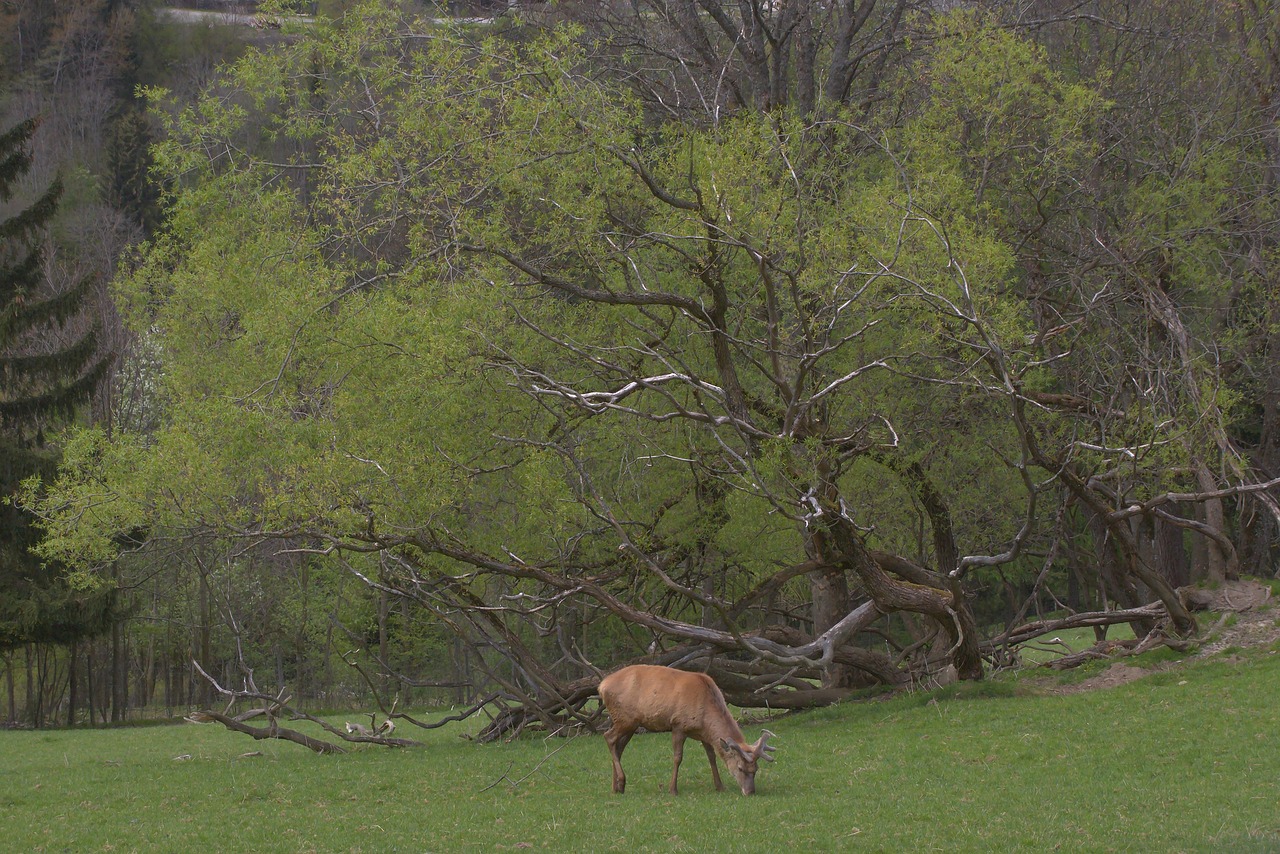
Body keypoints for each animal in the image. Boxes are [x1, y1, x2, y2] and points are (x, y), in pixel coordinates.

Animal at [593, 665, 773, 798]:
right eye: (741, 768)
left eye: (756, 769)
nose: (750, 792)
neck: (705, 717)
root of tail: (601, 686)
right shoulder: (678, 725)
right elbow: (677, 757)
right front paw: (673, 789)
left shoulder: (704, 734)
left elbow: (712, 757)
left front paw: (720, 786)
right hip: (625, 718)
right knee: (609, 737)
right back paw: (621, 781)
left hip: (631, 723)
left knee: (619, 747)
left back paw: (616, 787)